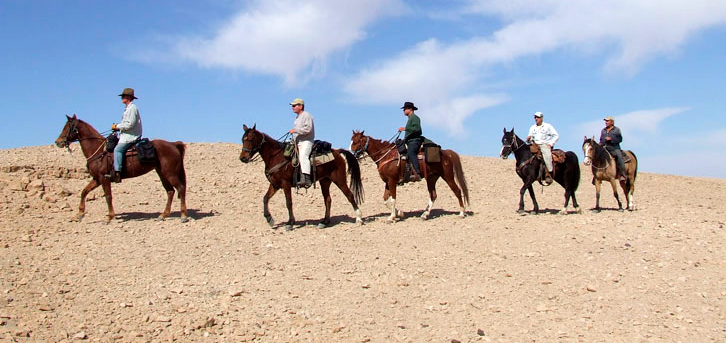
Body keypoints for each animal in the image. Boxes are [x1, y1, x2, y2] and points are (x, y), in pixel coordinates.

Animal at [55, 114, 189, 224]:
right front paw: (79, 214)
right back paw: (163, 215)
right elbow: (84, 192)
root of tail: (173, 144)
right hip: (162, 174)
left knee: (180, 189)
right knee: (170, 191)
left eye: (68, 127)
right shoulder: (97, 179)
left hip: (170, 174)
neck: (98, 151)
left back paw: (183, 215)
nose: (58, 142)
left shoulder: (104, 178)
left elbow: (108, 196)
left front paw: (109, 217)